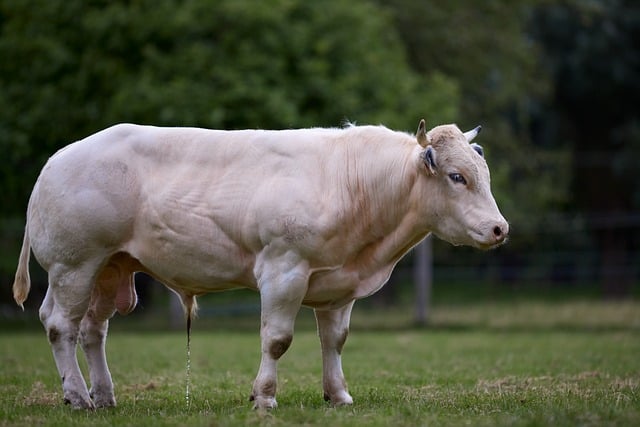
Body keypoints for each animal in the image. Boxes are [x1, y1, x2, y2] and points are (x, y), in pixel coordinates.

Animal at [12, 119, 508, 410]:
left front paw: (338, 395)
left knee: (92, 330)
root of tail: (57, 159)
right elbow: (277, 339)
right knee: (60, 325)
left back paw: (105, 395)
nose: (500, 228)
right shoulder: (283, 269)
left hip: (108, 267)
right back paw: (78, 396)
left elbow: (335, 341)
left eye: (483, 175)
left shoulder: (338, 285)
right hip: (74, 265)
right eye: (457, 177)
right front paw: (264, 398)